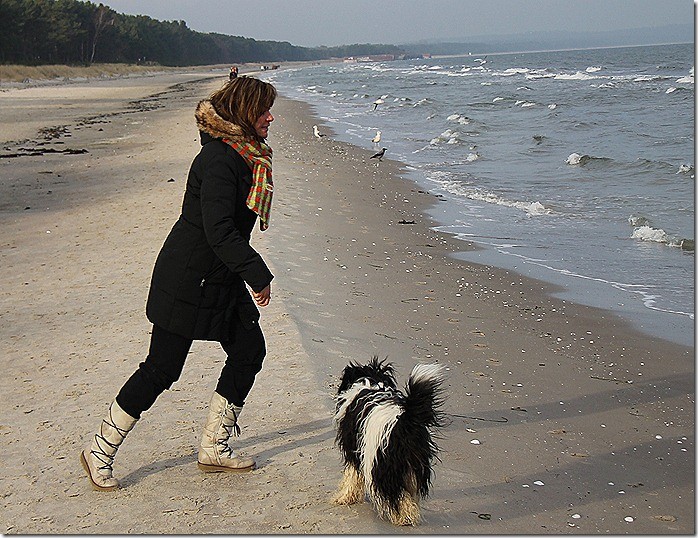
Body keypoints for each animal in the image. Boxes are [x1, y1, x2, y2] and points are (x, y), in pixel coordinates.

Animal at [330, 356, 440, 524]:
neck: (372, 381)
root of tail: (406, 422)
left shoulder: (354, 450)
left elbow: (352, 476)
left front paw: (345, 497)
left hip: (382, 464)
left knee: (396, 495)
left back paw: (402, 517)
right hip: (414, 466)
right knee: (409, 491)